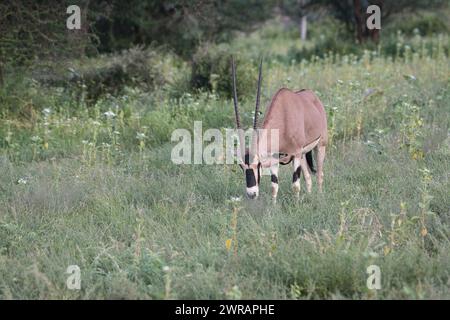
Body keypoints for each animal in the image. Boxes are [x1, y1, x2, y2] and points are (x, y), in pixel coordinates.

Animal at [232, 57, 326, 200]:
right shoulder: (275, 158)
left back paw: (320, 197)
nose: (251, 194)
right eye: (241, 166)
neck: (283, 116)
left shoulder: (295, 154)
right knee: (308, 177)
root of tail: (313, 97)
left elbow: (295, 185)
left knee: (320, 174)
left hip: (320, 146)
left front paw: (296, 204)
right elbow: (274, 186)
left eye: (258, 164)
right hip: (303, 155)